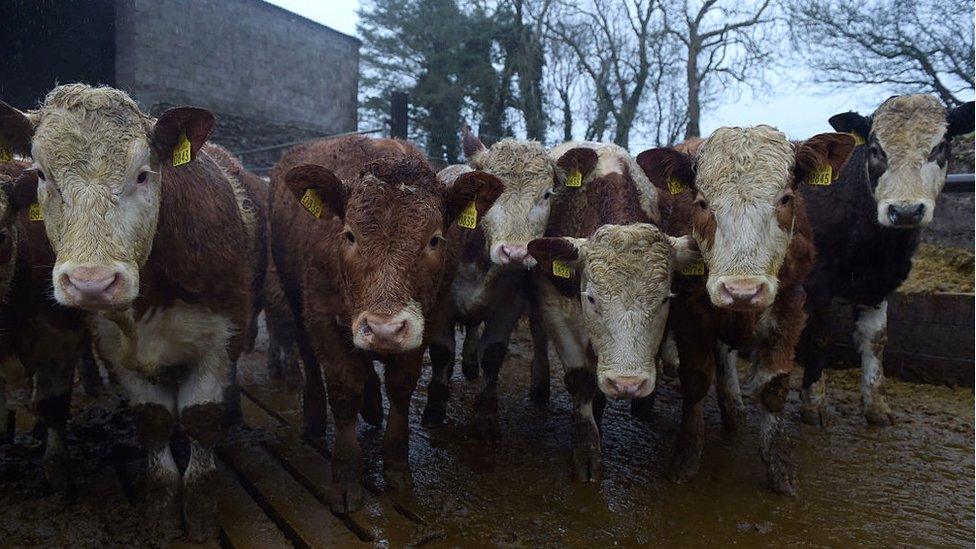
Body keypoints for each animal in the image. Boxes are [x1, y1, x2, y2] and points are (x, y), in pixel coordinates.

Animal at [0, 85, 255, 540]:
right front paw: (163, 515)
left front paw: (200, 517)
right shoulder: (116, 353)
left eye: (142, 174)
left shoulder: (220, 339)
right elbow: (154, 422)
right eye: (43, 175)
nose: (92, 282)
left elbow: (200, 419)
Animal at [268, 135, 504, 512]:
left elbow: (400, 387)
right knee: (308, 356)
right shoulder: (321, 315)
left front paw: (396, 467)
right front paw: (346, 475)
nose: (384, 329)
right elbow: (344, 389)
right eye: (349, 235)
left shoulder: (427, 320)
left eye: (434, 239)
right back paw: (316, 416)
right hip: (294, 294)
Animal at [524, 140, 696, 480]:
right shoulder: (554, 306)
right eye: (591, 298)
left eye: (665, 299)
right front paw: (587, 450)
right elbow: (580, 379)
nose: (627, 384)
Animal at [632, 126, 856, 494]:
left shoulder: (790, 306)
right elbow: (696, 379)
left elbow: (773, 386)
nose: (742, 291)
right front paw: (687, 457)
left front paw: (780, 469)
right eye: (702, 202)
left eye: (785, 199)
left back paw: (733, 406)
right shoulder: (689, 309)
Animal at [796, 95, 972, 424]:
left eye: (940, 146)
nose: (905, 211)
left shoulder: (879, 284)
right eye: (876, 149)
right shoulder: (817, 282)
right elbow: (819, 337)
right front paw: (813, 404)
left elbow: (875, 340)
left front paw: (876, 405)